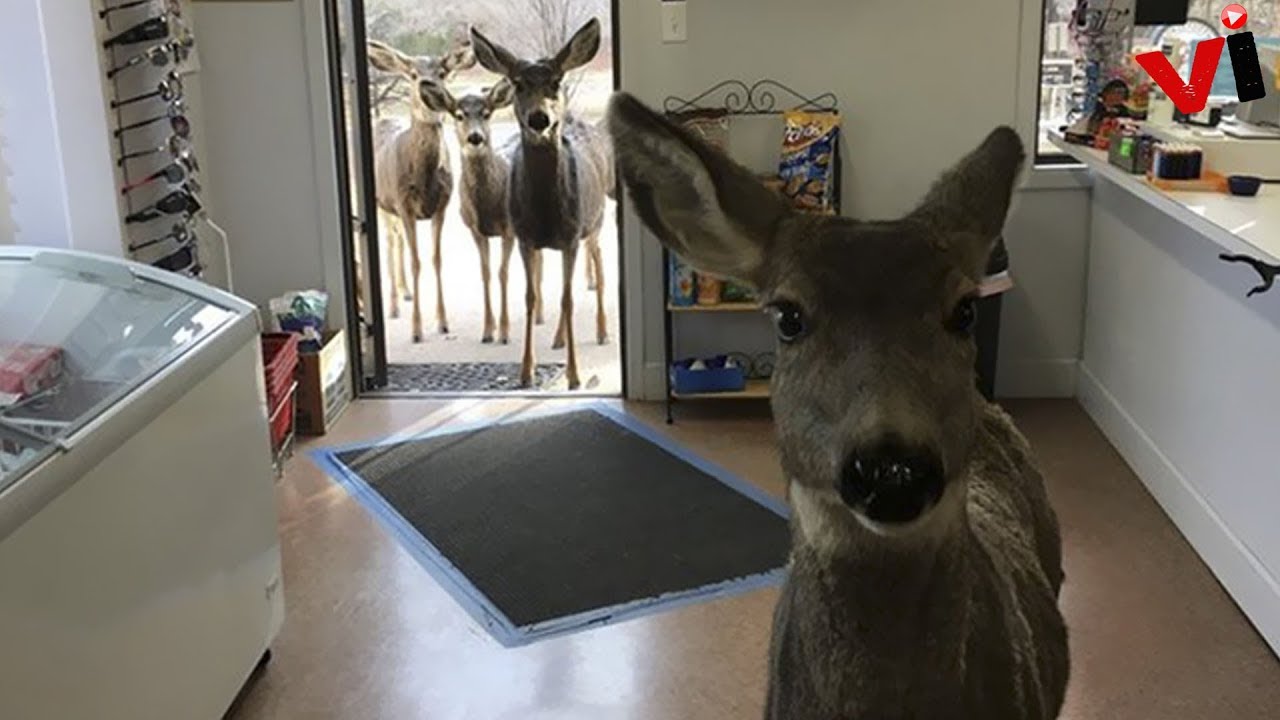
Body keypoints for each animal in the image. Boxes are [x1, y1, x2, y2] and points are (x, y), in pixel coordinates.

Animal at [365, 39, 475, 342]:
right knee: (390, 243)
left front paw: (443, 322)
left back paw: (405, 292)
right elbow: (416, 261)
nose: (428, 86)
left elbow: (436, 259)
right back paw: (393, 305)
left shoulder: (442, 206)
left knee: (397, 240)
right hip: (381, 203)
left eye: (442, 72)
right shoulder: (404, 205)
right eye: (413, 74)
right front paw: (416, 330)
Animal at [419, 77, 550, 343]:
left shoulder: (509, 229)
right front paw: (488, 330)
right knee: (537, 257)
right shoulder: (475, 230)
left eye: (487, 113)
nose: (475, 137)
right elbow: (486, 272)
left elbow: (503, 273)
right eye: (459, 115)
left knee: (538, 259)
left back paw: (539, 314)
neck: (488, 205)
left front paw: (505, 331)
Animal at [469, 18, 612, 390]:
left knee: (597, 268)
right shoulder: (524, 236)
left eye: (556, 82)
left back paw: (603, 331)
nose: (539, 119)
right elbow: (531, 296)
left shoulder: (572, 234)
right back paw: (559, 339)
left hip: (595, 222)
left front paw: (575, 375)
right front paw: (525, 371)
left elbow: (569, 298)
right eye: (518, 84)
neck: (547, 210)